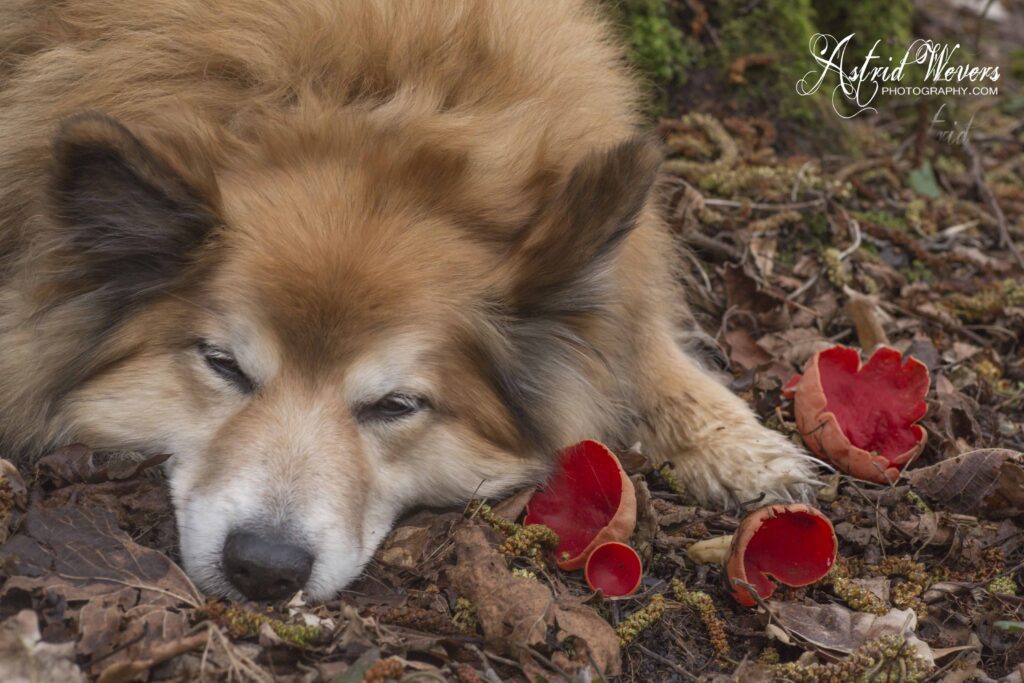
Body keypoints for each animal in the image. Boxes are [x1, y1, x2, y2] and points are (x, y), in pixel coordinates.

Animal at [0, 0, 815, 602]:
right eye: (223, 365)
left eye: (396, 405)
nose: (264, 568)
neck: (364, 95)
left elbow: (637, 334)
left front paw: (741, 444)